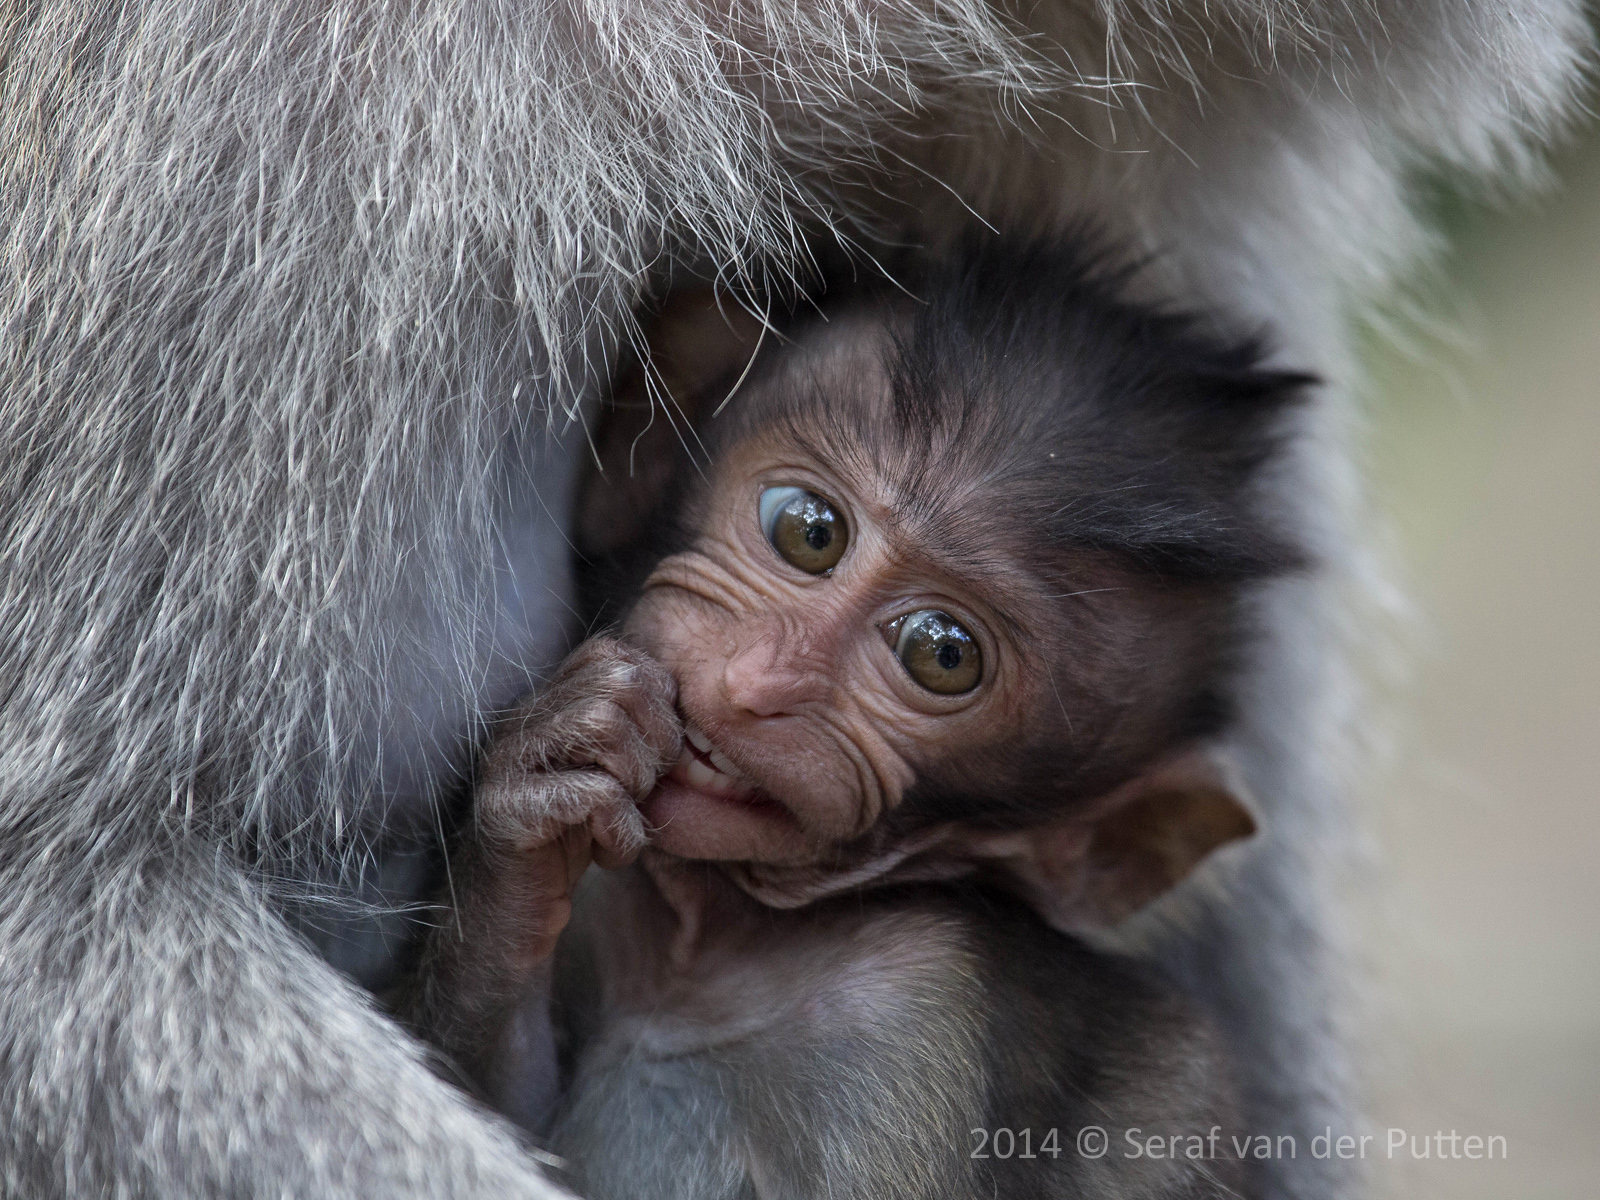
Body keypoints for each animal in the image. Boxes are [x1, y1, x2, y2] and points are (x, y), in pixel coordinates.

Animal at [398, 239, 1309, 1198]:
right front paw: (542, 789)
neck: (706, 949)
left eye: (943, 654)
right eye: (810, 531)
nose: (763, 683)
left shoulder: (911, 1013)